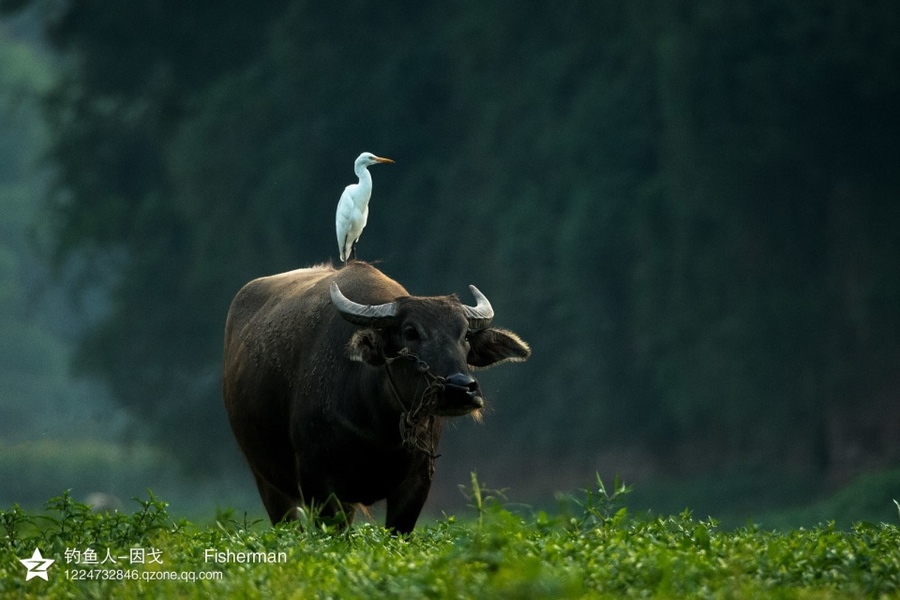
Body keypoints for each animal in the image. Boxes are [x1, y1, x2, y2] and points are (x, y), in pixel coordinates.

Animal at [223, 260, 528, 532]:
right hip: (267, 479)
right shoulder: (318, 484)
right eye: (410, 332)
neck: (379, 425)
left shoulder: (417, 483)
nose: (461, 388)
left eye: (464, 334)